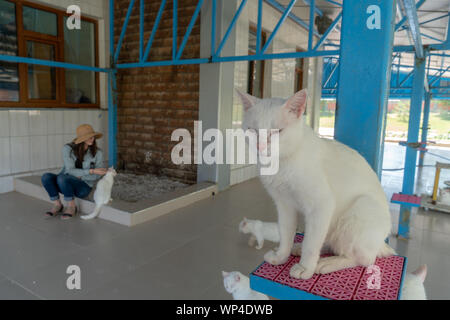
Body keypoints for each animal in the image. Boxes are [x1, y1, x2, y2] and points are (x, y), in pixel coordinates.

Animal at [237, 88, 396, 280]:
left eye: (277, 131)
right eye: (252, 130)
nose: (260, 146)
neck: (281, 163)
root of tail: (380, 243)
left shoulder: (321, 205)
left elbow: (311, 244)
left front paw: (305, 268)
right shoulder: (284, 205)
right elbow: (286, 232)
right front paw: (282, 256)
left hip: (359, 210)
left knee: (363, 259)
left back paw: (327, 263)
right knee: (327, 241)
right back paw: (300, 249)